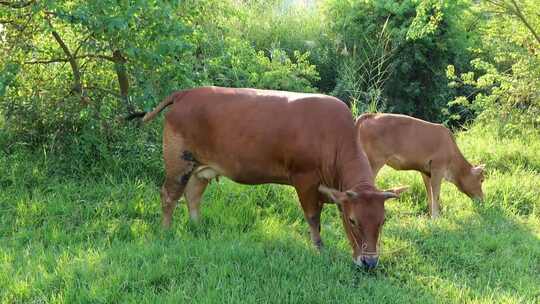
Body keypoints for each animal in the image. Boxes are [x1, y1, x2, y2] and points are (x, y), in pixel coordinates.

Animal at [137, 86, 408, 268]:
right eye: (352, 221)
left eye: (383, 221)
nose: (369, 262)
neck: (334, 139)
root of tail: (186, 93)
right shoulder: (305, 179)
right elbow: (313, 217)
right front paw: (319, 248)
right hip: (178, 162)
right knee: (169, 196)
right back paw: (166, 231)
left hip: (199, 168)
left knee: (193, 195)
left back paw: (197, 227)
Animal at [354, 113, 486, 217]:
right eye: (482, 180)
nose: (482, 199)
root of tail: (372, 115)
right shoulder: (438, 169)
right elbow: (436, 194)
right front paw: (436, 217)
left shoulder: (426, 172)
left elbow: (430, 194)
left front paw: (432, 214)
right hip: (374, 163)